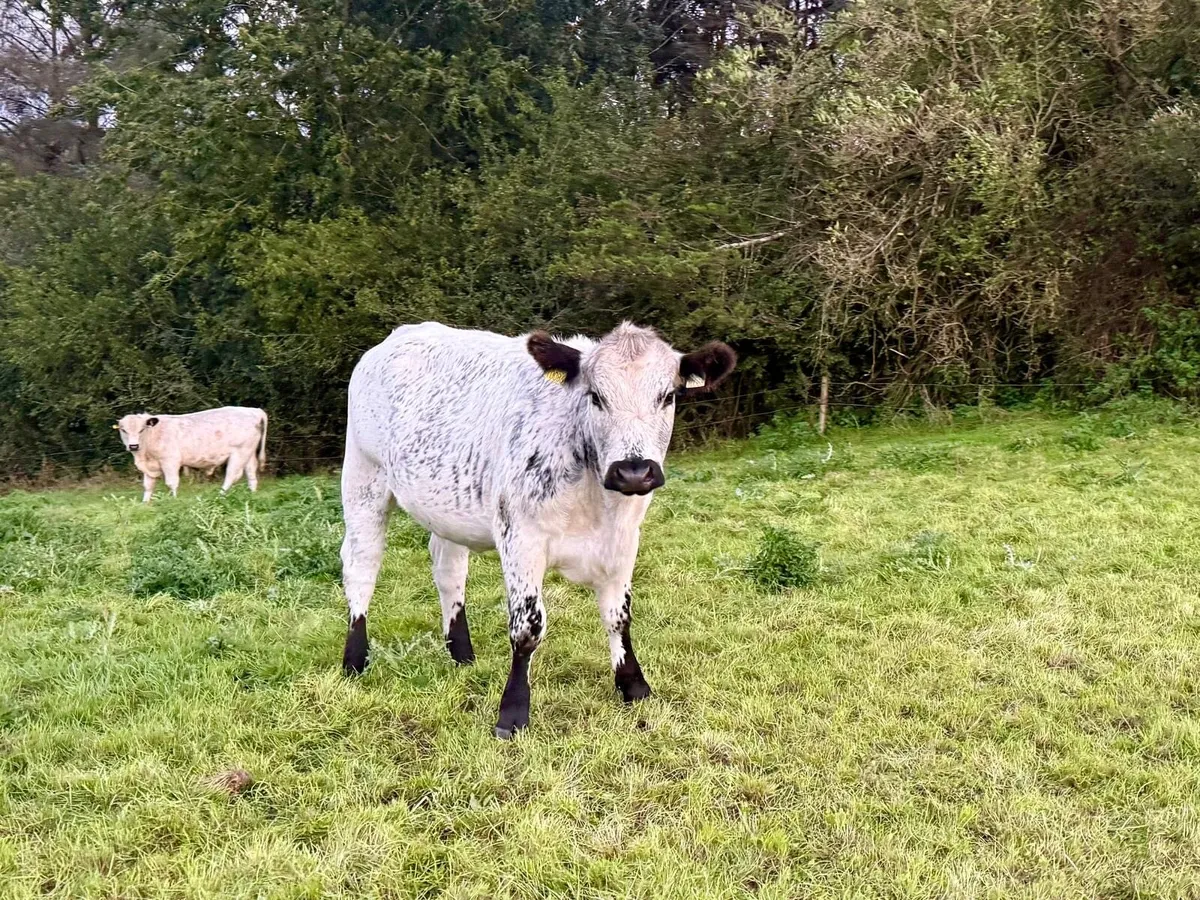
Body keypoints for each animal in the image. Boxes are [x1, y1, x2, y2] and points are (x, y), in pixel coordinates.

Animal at [114, 406, 268, 502]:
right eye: (123, 430)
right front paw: (145, 503)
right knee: (251, 474)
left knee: (231, 476)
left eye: (142, 429)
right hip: (248, 453)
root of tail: (253, 410)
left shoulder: (170, 461)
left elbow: (172, 483)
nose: (133, 446)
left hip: (239, 453)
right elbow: (148, 485)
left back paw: (220, 496)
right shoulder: (150, 466)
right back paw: (252, 494)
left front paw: (174, 500)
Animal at [340, 322, 735, 738]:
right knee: (362, 566)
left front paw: (633, 685)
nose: (633, 471)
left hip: (446, 510)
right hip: (363, 479)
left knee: (448, 570)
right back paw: (355, 660)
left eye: (668, 396)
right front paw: (512, 713)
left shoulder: (624, 540)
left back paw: (462, 654)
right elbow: (527, 628)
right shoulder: (520, 539)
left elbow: (619, 617)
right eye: (595, 397)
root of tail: (400, 334)